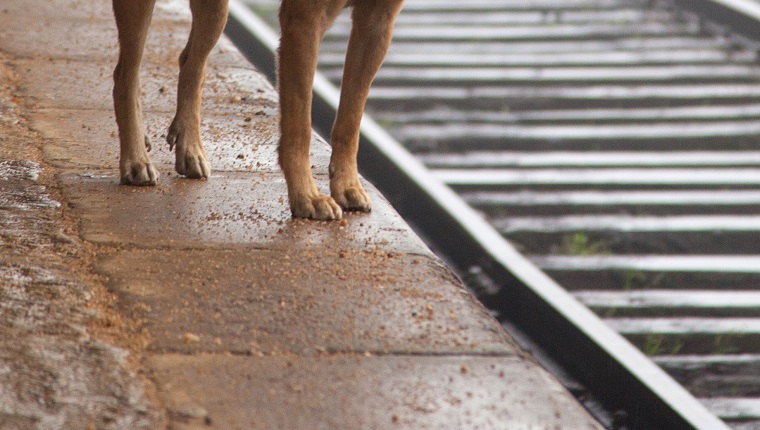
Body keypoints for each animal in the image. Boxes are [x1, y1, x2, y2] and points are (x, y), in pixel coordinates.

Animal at [112, 0, 404, 220]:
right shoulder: (304, 21)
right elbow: (299, 127)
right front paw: (306, 197)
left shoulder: (378, 22)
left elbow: (350, 121)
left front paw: (347, 185)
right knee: (126, 75)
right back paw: (136, 159)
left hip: (215, 10)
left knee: (190, 65)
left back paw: (190, 149)